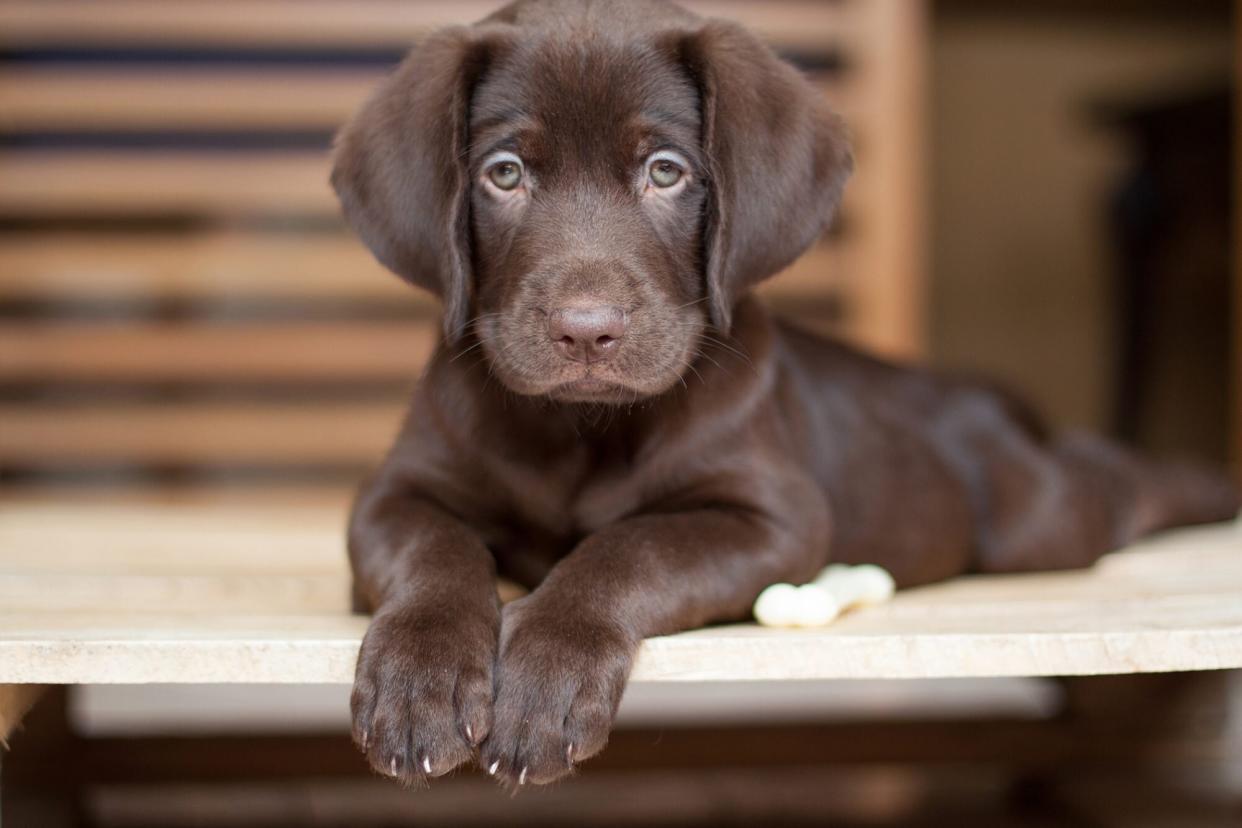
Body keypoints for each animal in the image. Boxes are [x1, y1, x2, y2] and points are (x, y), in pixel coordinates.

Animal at [332, 0, 1242, 789]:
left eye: (665, 172)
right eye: (505, 173)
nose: (586, 332)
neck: (584, 427)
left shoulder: (773, 518)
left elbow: (629, 548)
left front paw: (548, 671)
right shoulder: (392, 494)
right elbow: (434, 553)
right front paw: (420, 678)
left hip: (1041, 519)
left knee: (1115, 485)